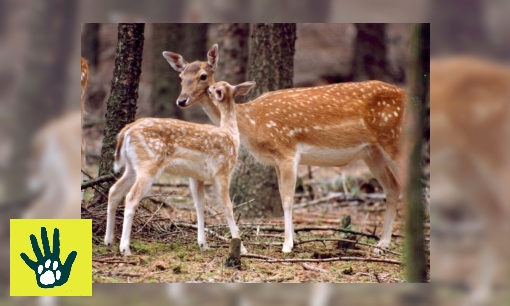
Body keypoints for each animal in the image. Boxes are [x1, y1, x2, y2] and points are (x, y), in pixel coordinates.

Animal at [104, 79, 255, 256]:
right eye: (212, 88)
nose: (207, 89)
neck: (231, 134)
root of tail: (125, 132)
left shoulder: (196, 176)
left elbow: (199, 206)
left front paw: (203, 244)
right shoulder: (223, 171)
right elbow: (228, 208)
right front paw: (242, 248)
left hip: (132, 167)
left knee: (114, 191)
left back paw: (109, 241)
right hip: (149, 163)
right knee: (131, 197)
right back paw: (125, 248)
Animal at [163, 43, 406, 253]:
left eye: (203, 76)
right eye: (181, 77)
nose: (181, 101)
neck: (252, 123)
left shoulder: (288, 152)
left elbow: (288, 200)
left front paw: (287, 245)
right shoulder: (277, 160)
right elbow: (282, 197)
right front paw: (291, 240)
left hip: (396, 140)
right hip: (372, 152)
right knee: (393, 187)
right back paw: (382, 244)